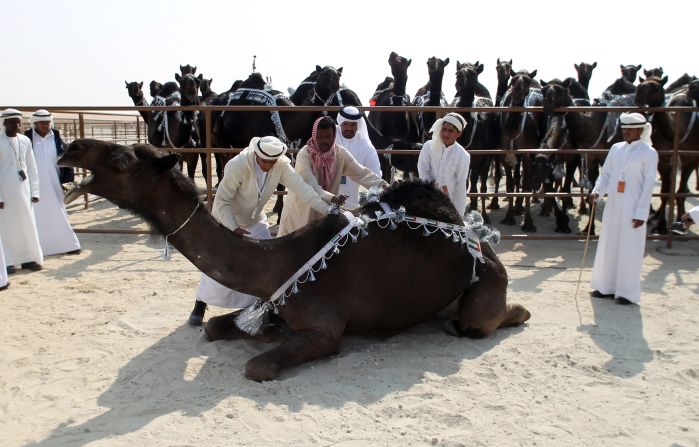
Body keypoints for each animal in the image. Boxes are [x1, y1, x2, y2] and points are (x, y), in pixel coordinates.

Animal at [61, 140, 532, 382]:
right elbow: (214, 327)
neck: (283, 263)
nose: (72, 148)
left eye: (122, 158)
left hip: (486, 287)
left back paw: (511, 313)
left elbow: (256, 367)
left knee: (485, 320)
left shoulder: (326, 332)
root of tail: (485, 245)